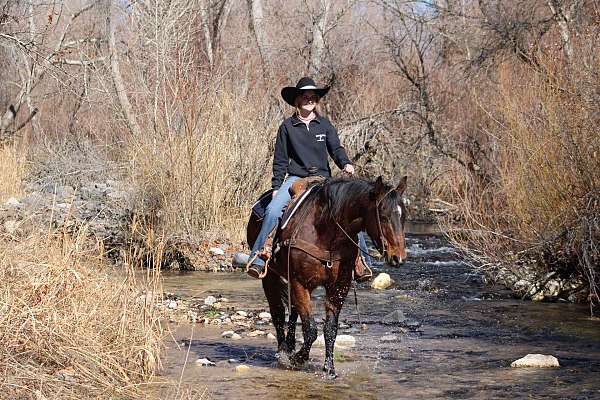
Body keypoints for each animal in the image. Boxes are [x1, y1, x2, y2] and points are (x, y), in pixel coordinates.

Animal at [245, 176, 408, 378]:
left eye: (404, 216)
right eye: (383, 216)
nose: (398, 258)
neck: (325, 231)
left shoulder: (339, 286)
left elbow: (330, 328)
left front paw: (329, 368)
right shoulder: (299, 283)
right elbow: (311, 330)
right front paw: (297, 360)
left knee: (293, 313)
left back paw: (290, 347)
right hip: (270, 278)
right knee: (278, 313)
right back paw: (283, 352)